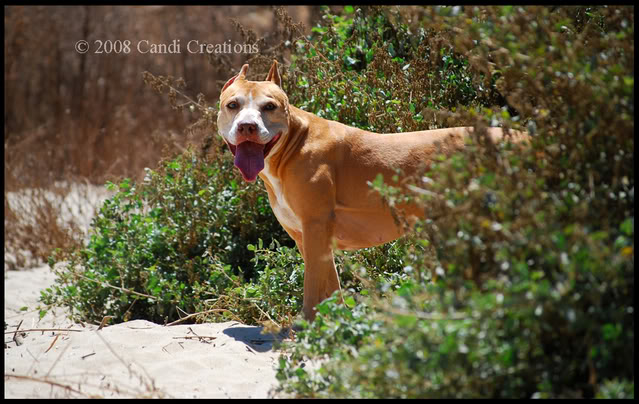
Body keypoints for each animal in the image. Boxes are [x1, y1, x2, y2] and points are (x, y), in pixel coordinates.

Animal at [218, 60, 528, 320]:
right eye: (233, 105)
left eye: (269, 107)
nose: (247, 126)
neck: (292, 144)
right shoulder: (307, 237)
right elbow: (329, 285)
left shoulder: (315, 227)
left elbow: (312, 286)